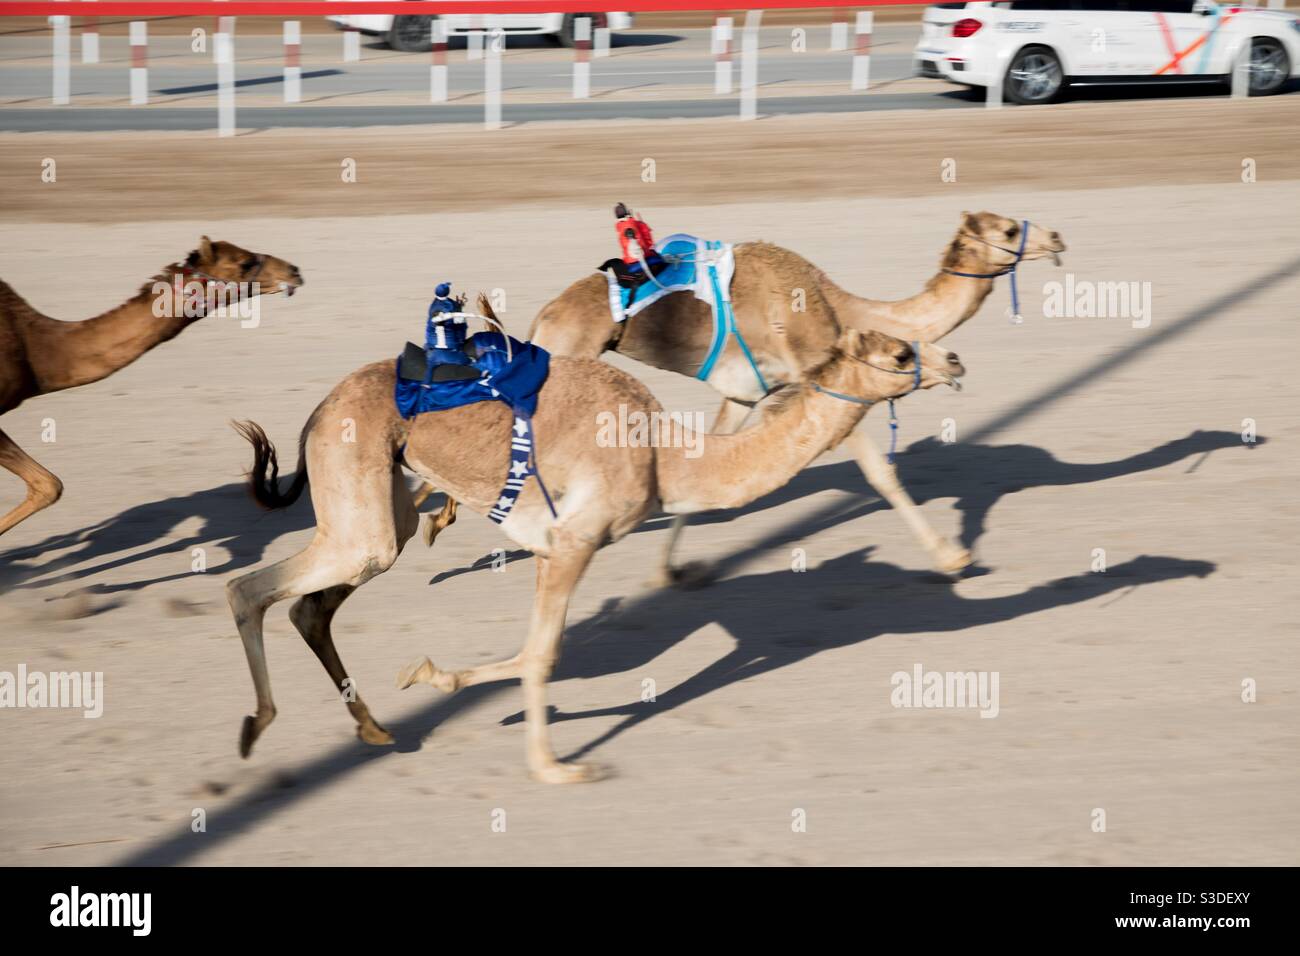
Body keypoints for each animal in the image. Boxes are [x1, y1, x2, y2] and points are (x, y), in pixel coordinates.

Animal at [226, 305, 963, 782]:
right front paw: (555, 768)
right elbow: (543, 655)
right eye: (900, 354)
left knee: (315, 601)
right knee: (249, 588)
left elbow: (528, 653)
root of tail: (319, 411)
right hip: (355, 488)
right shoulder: (574, 542)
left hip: (380, 504)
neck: (666, 458)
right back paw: (256, 726)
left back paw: (374, 728)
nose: (953, 359)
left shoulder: (557, 548)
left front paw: (433, 676)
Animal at [419, 211, 1064, 582]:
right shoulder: (818, 376)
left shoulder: (749, 395)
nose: (1057, 236)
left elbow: (709, 467)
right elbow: (879, 473)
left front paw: (676, 573)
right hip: (565, 352)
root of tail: (544, 316)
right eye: (1009, 231)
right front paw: (953, 559)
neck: (834, 308)